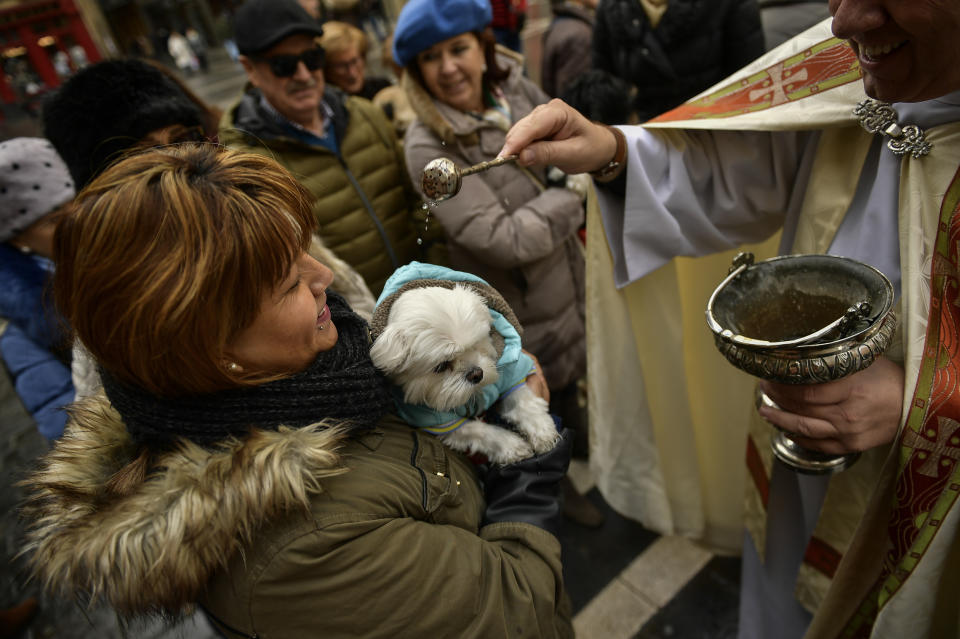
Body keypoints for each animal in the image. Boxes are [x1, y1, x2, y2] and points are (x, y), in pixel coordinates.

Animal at [370, 284, 564, 464]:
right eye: (441, 366)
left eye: (476, 344)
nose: (476, 374)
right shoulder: (440, 422)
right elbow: (480, 432)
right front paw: (512, 446)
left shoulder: (512, 374)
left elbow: (523, 401)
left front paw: (542, 431)